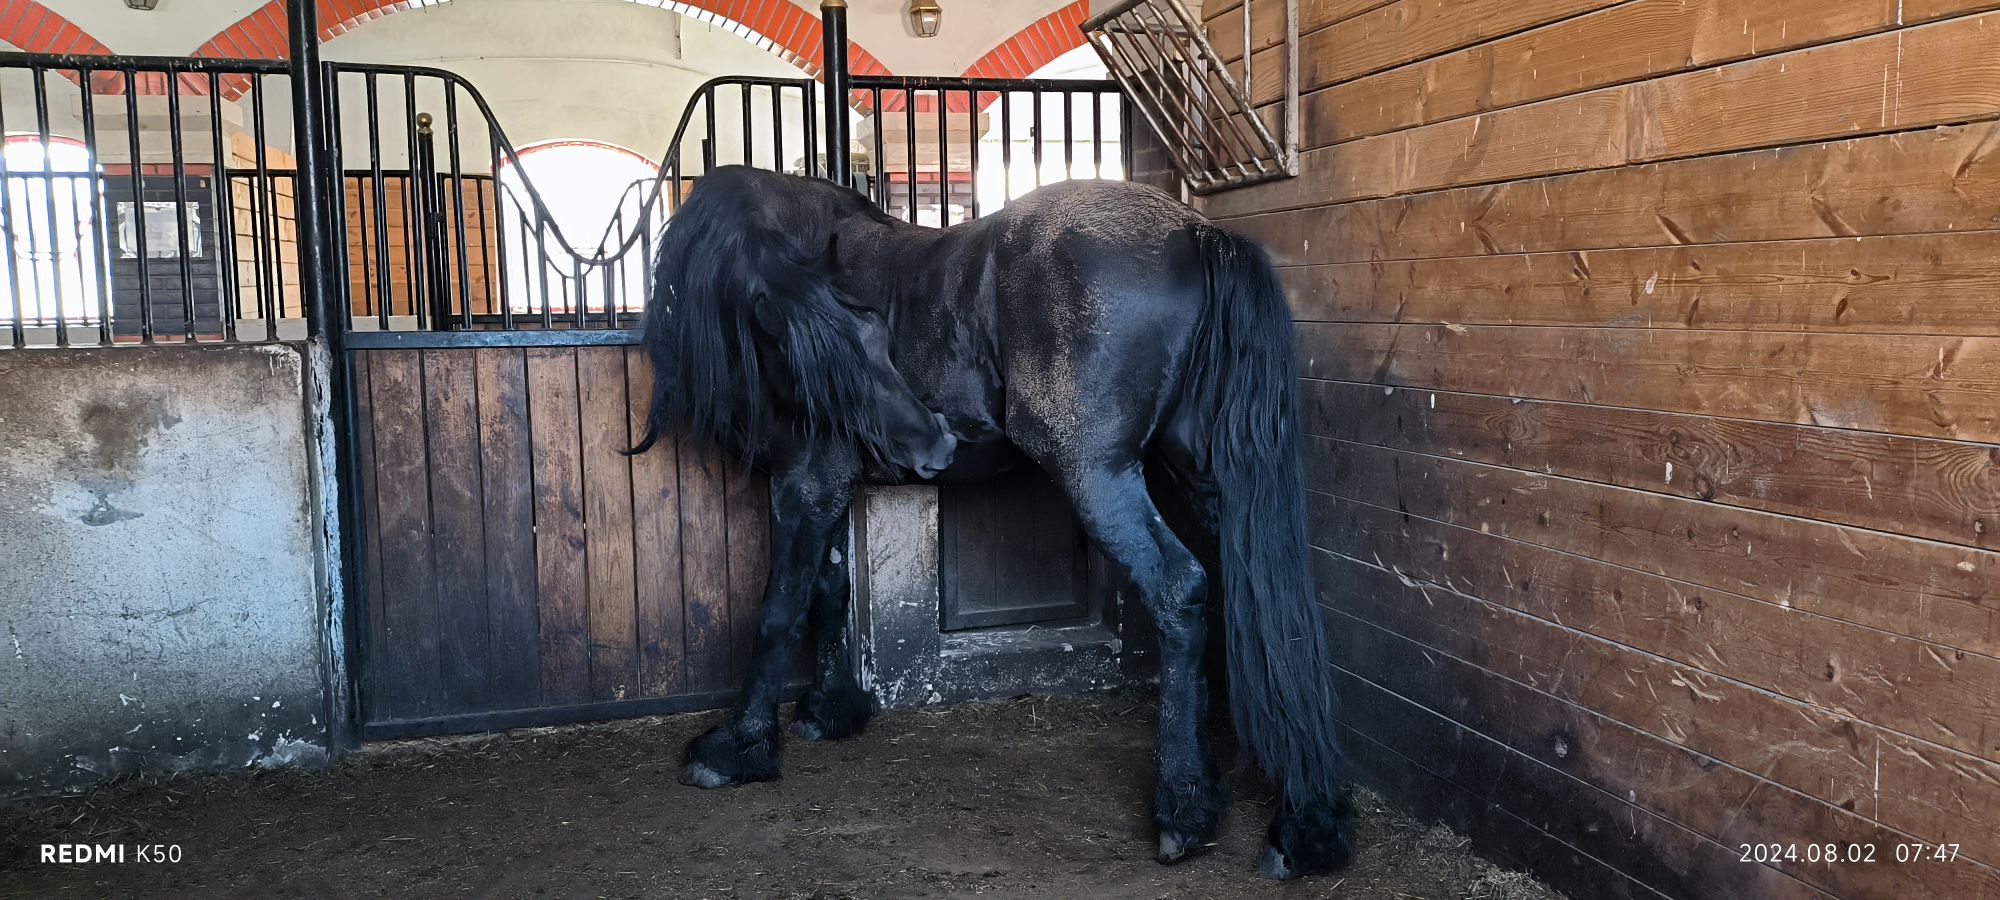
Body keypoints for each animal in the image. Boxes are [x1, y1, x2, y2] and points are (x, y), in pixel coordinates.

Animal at [629, 165, 1352, 879]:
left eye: (874, 337)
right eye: (829, 352)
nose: (934, 447)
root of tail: (1196, 232)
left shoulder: (804, 481)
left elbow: (780, 606)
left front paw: (735, 748)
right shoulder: (826, 487)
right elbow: (829, 592)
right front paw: (830, 711)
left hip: (1096, 473)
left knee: (1179, 591)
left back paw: (1185, 807)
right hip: (1205, 479)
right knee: (1264, 605)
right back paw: (1304, 825)